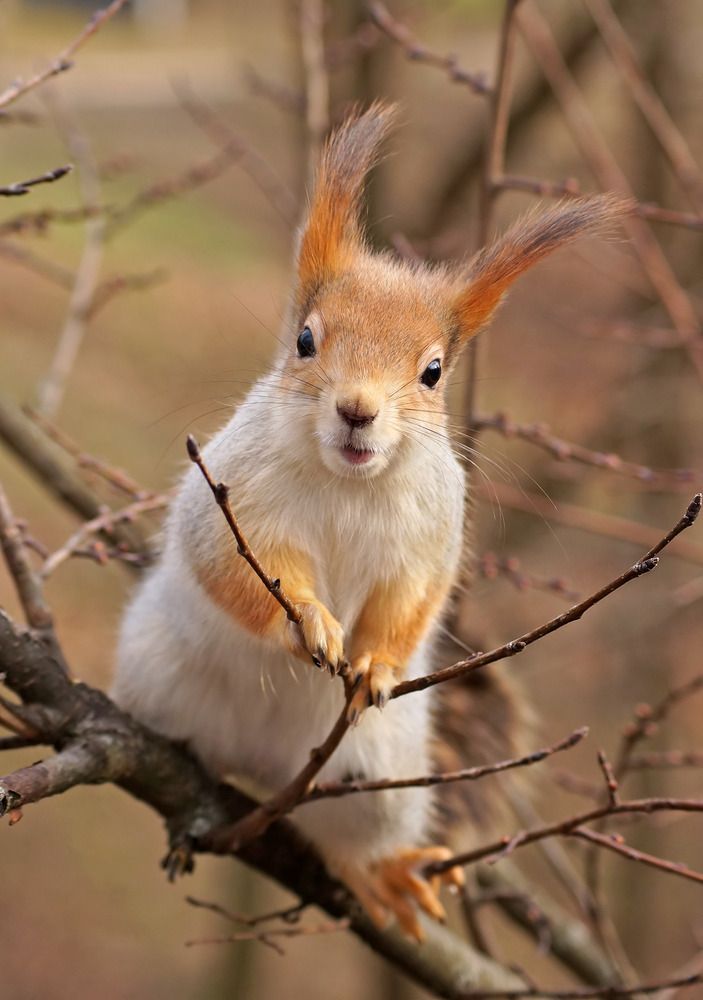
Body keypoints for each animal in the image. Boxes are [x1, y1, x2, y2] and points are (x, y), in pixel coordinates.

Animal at [112, 103, 622, 940]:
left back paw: (384, 874)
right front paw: (309, 623)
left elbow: (412, 601)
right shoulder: (232, 505)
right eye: (304, 340)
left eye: (433, 372)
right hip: (161, 680)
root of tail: (264, 767)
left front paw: (377, 663)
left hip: (374, 775)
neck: (350, 483)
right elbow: (232, 569)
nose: (357, 409)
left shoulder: (431, 537)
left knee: (350, 837)